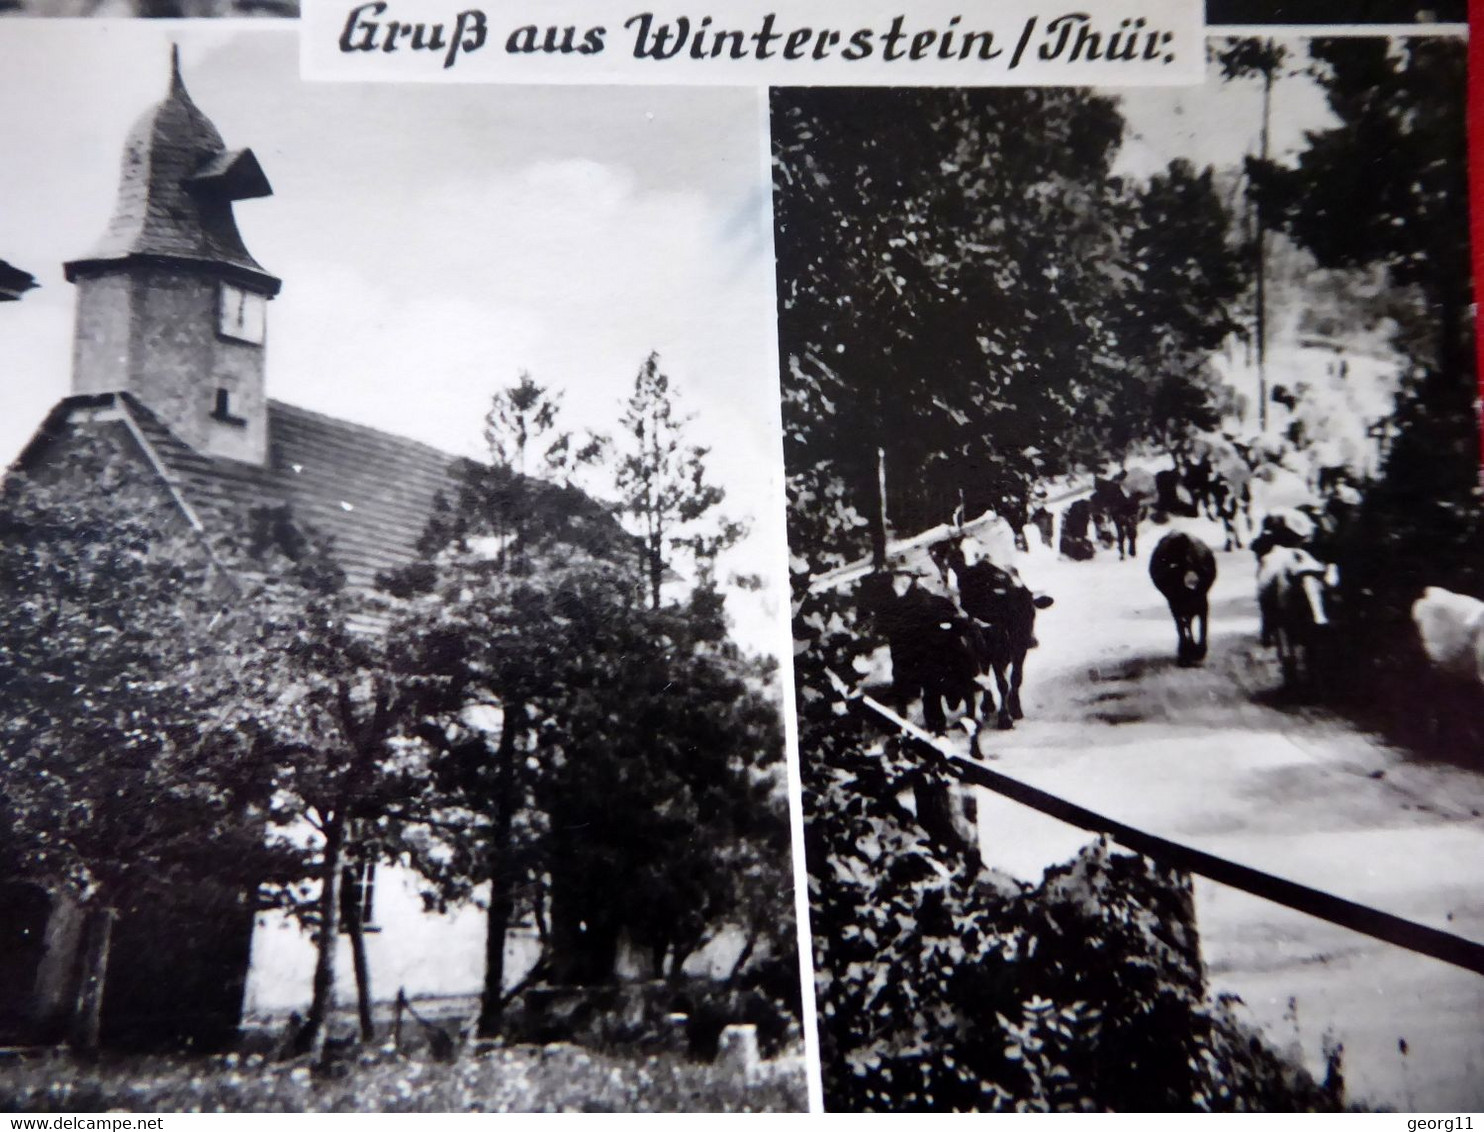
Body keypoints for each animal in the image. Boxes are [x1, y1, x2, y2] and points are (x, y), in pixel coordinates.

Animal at [937, 543, 1056, 735]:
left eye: (1033, 613)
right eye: (1009, 613)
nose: (1030, 641)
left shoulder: (1019, 651)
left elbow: (1016, 678)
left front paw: (1016, 709)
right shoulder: (994, 651)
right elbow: (1002, 683)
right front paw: (1005, 719)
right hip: (980, 646)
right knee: (985, 670)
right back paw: (988, 705)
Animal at [1145, 537, 1216, 667]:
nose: (1192, 583)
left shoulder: (1199, 604)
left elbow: (1198, 626)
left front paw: (1195, 652)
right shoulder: (1178, 606)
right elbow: (1184, 626)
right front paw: (1188, 652)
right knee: (1185, 624)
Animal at [1258, 545, 1341, 694]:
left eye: (1322, 591)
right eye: (1303, 592)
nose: (1321, 622)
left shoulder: (1311, 634)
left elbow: (1312, 659)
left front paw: (1316, 687)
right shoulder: (1285, 629)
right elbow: (1290, 657)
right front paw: (1293, 686)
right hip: (1277, 626)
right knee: (1284, 654)